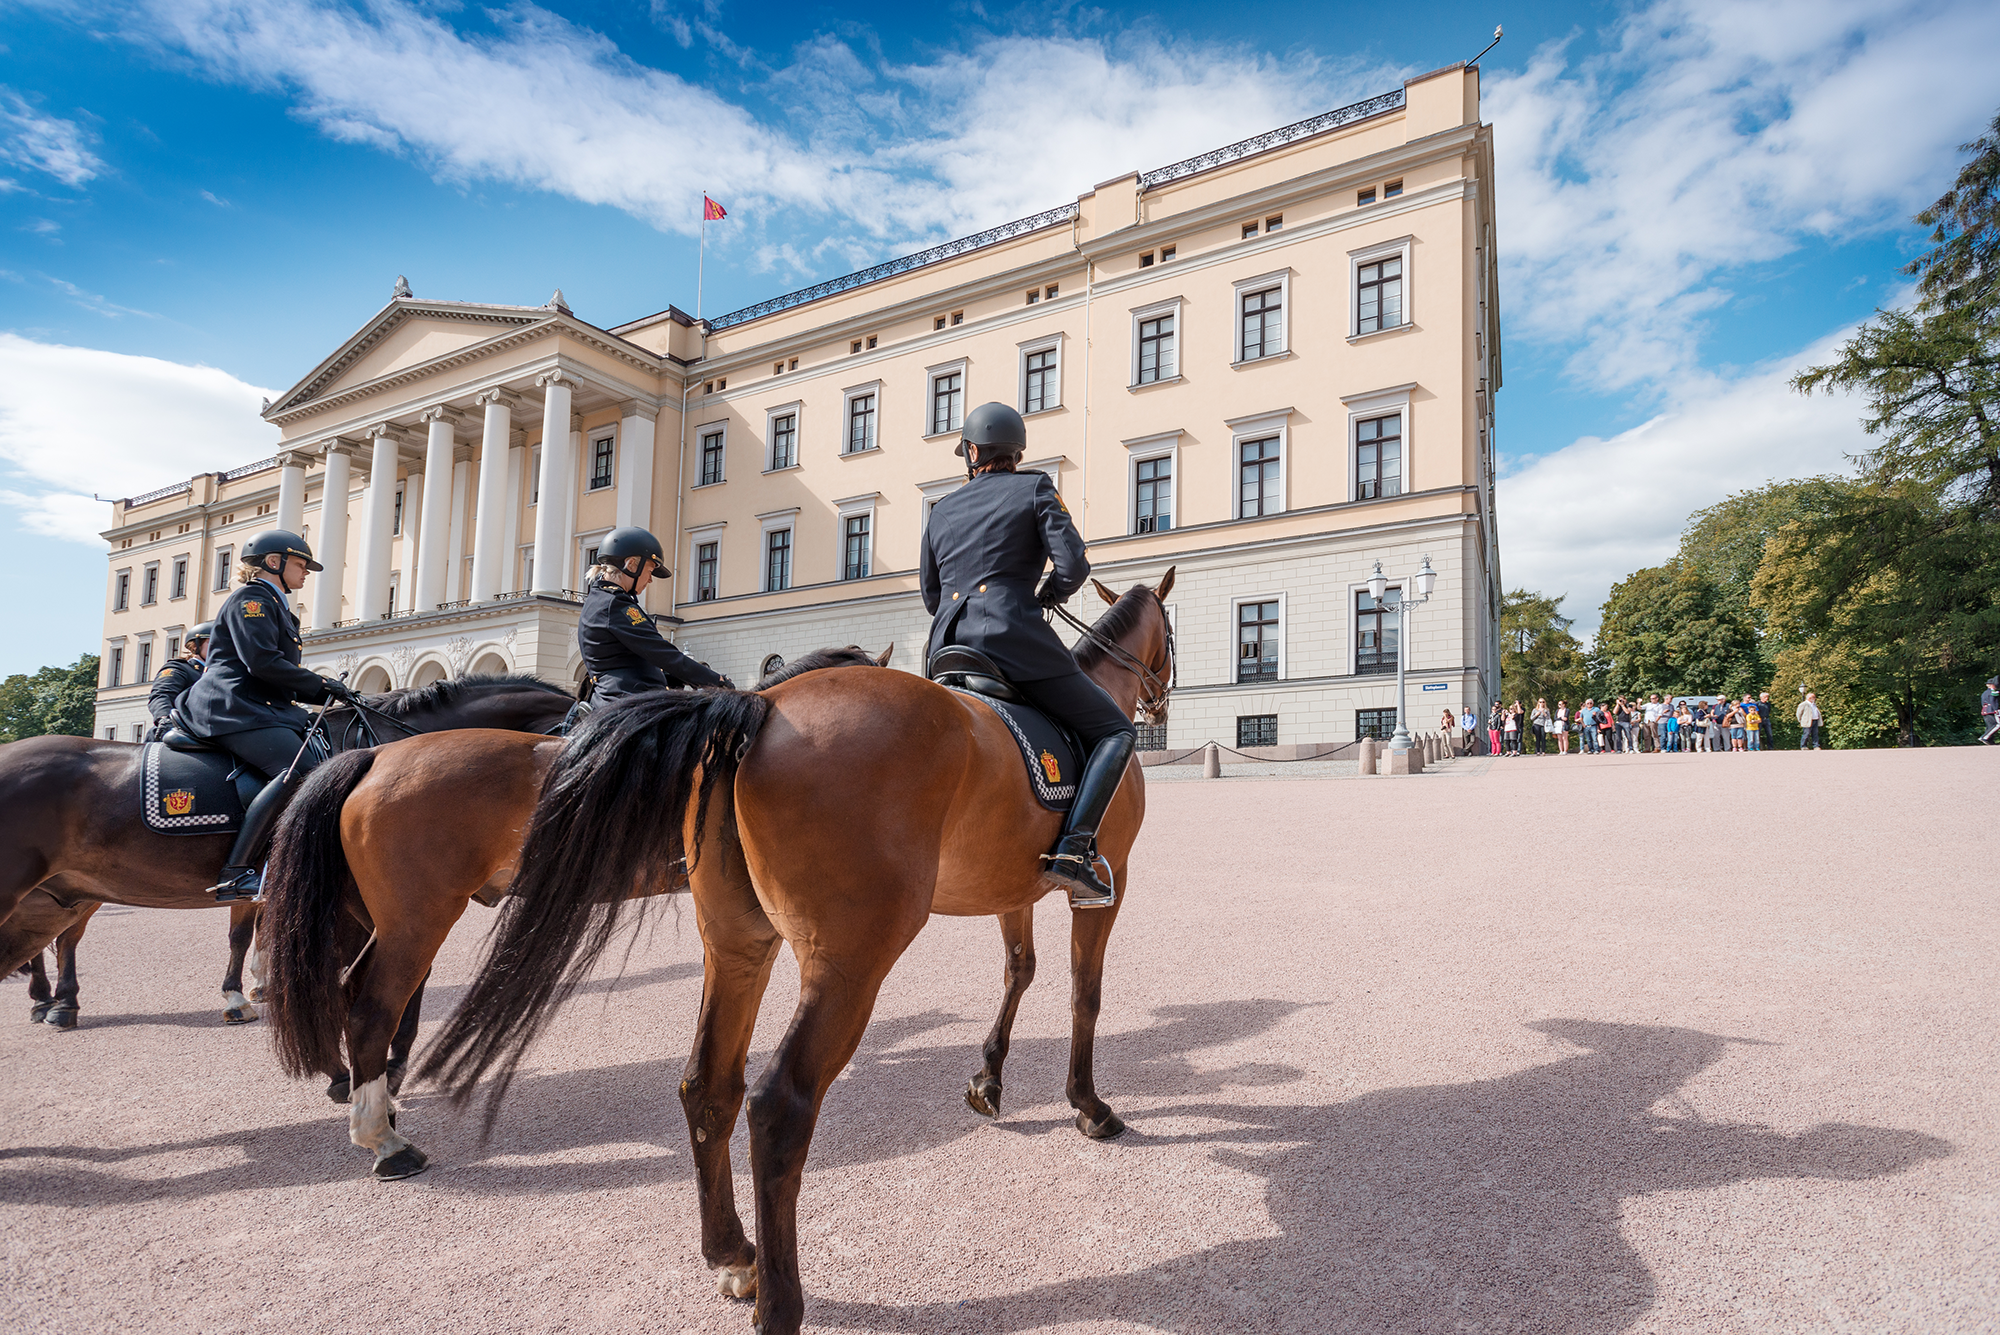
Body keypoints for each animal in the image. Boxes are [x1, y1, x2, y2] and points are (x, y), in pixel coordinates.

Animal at [0, 667, 580, 1031]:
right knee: (65, 941)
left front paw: (258, 992)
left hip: (66, 889)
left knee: (53, 940)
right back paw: (55, 1003)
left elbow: (256, 936)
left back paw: (52, 1001)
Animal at [258, 647, 900, 1175]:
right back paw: (385, 1141)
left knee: (350, 989)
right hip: (417, 922)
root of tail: (374, 754)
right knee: (373, 1009)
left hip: (382, 921)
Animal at [416, 575, 1176, 1335]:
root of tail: (763, 705)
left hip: (738, 945)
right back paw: (782, 1300)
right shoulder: (1108, 881)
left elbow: (1020, 970)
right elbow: (1084, 991)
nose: (1161, 698)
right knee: (780, 1104)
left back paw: (732, 1254)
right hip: (851, 961)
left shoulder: (1013, 886)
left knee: (708, 1086)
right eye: (1168, 632)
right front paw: (1088, 1104)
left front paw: (988, 1079)